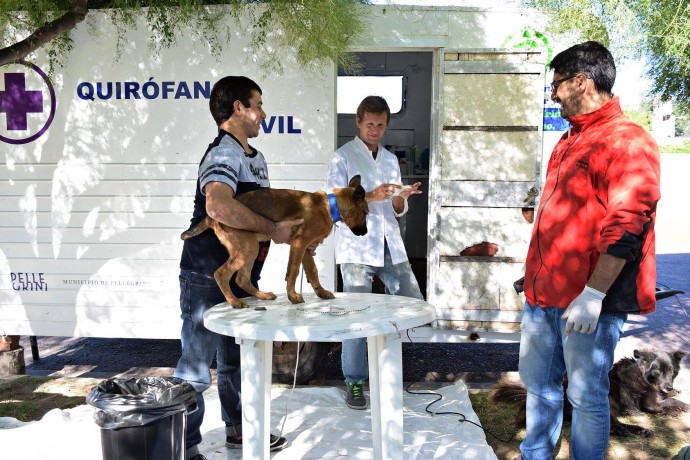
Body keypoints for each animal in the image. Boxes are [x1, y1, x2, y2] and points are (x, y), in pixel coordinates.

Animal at [180, 174, 368, 308]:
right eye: (366, 212)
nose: (365, 233)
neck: (329, 205)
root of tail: (210, 217)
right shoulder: (299, 243)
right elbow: (293, 271)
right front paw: (293, 296)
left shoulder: (306, 248)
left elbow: (313, 271)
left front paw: (321, 293)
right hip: (247, 249)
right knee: (221, 273)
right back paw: (234, 302)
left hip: (250, 249)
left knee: (242, 279)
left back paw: (262, 295)